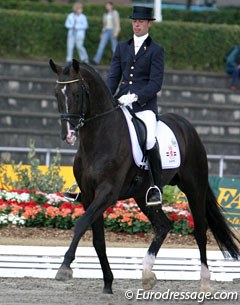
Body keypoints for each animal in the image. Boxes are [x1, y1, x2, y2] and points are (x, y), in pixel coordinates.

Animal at [49, 58, 240, 294]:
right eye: (56, 94)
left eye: (76, 94)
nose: (68, 134)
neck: (98, 137)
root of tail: (186, 125)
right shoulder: (88, 195)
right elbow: (98, 240)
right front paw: (108, 283)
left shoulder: (107, 193)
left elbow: (81, 224)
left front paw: (65, 267)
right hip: (143, 195)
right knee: (163, 225)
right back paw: (147, 273)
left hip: (194, 188)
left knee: (200, 230)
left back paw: (204, 282)